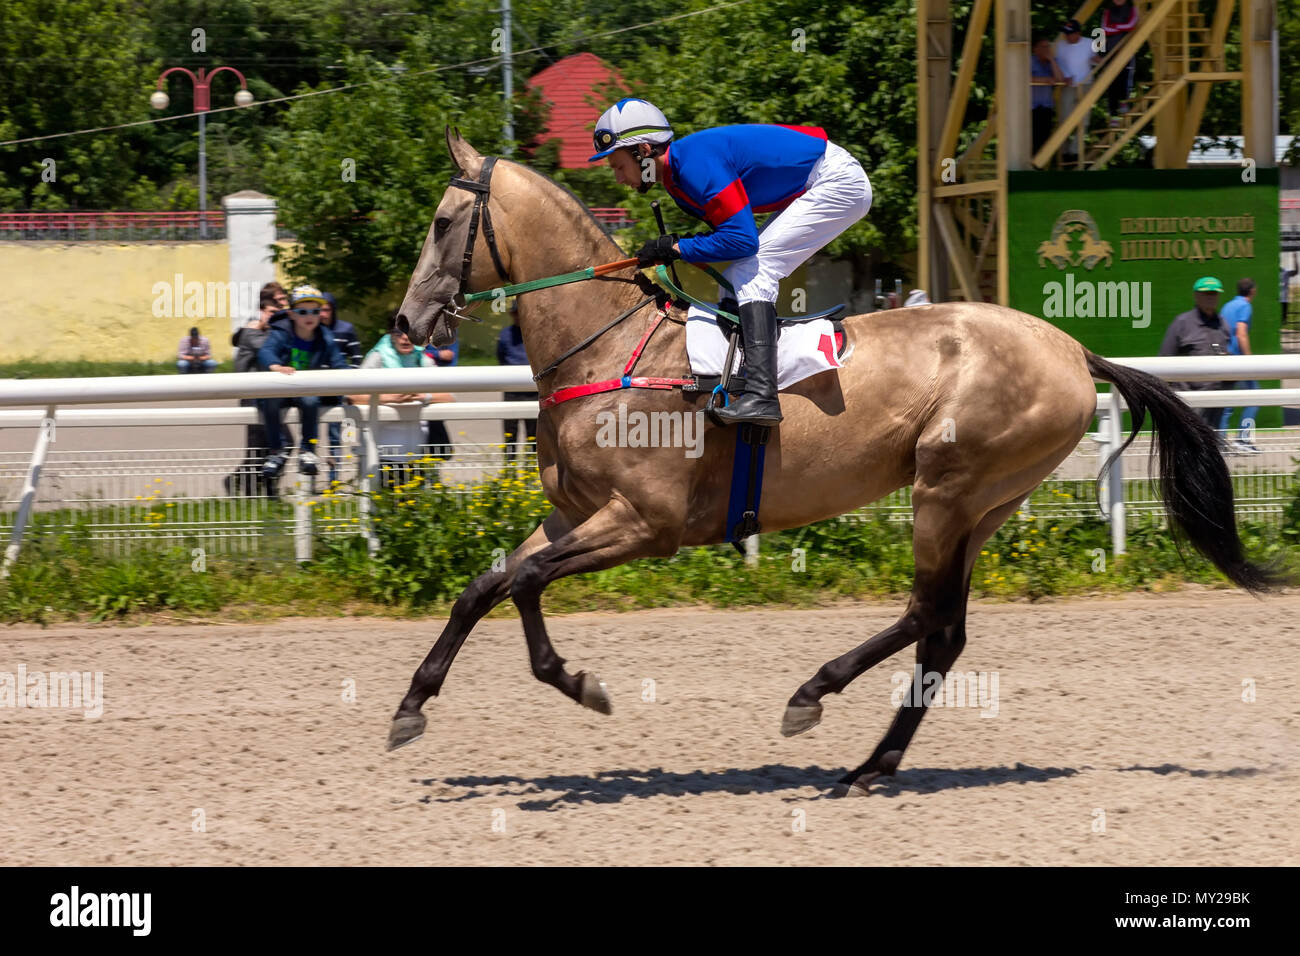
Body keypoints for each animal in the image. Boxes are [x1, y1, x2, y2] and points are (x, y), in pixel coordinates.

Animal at [384, 130, 1279, 796]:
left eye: (440, 224)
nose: (406, 321)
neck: (606, 346)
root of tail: (1072, 347)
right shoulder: (574, 513)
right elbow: (485, 586)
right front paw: (410, 706)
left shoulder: (645, 524)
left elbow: (529, 583)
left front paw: (581, 684)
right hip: (985, 505)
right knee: (943, 632)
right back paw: (871, 763)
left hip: (947, 488)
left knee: (927, 614)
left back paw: (814, 698)